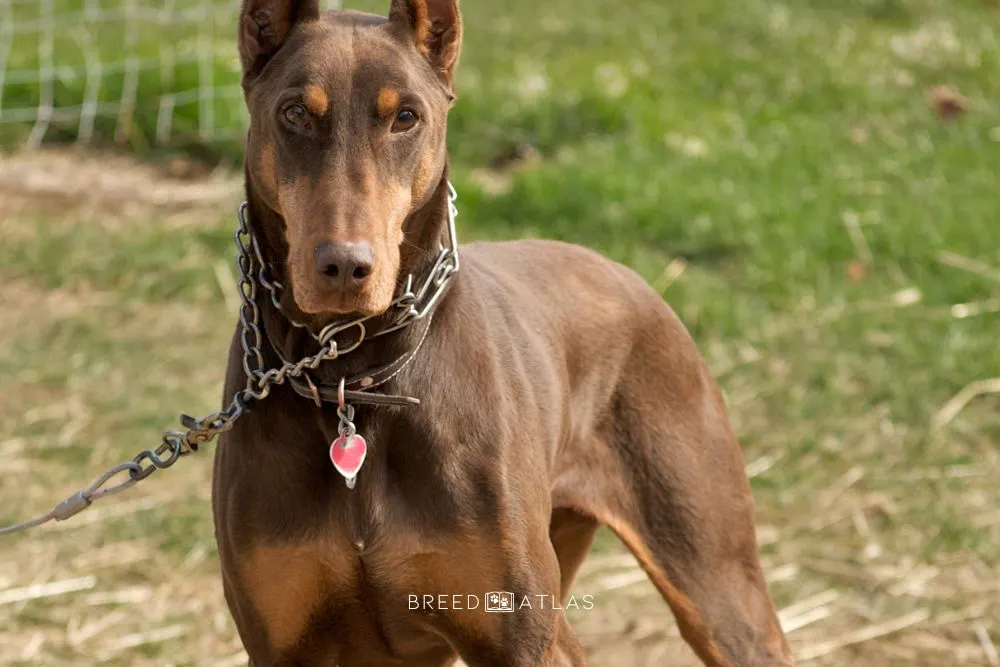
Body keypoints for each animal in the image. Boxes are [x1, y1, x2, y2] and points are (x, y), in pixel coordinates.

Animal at [213, 1, 796, 667]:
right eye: (294, 113)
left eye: (406, 116)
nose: (344, 266)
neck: (353, 380)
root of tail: (628, 276)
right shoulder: (282, 644)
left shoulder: (521, 638)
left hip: (715, 580)